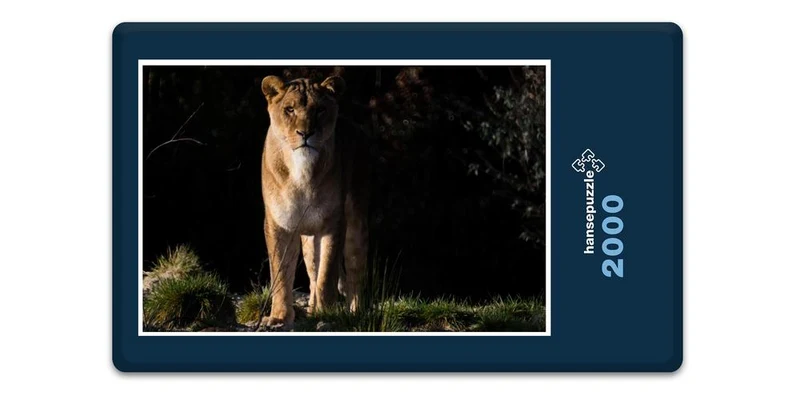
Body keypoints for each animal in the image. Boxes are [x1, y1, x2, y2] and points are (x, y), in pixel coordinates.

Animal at [260, 75, 368, 329]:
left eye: (320, 110)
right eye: (289, 109)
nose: (305, 133)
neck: (301, 170)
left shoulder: (333, 224)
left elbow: (327, 275)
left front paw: (326, 315)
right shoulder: (278, 225)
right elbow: (281, 274)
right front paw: (279, 317)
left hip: (356, 222)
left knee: (355, 269)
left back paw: (354, 312)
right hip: (308, 238)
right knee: (312, 273)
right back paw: (310, 309)